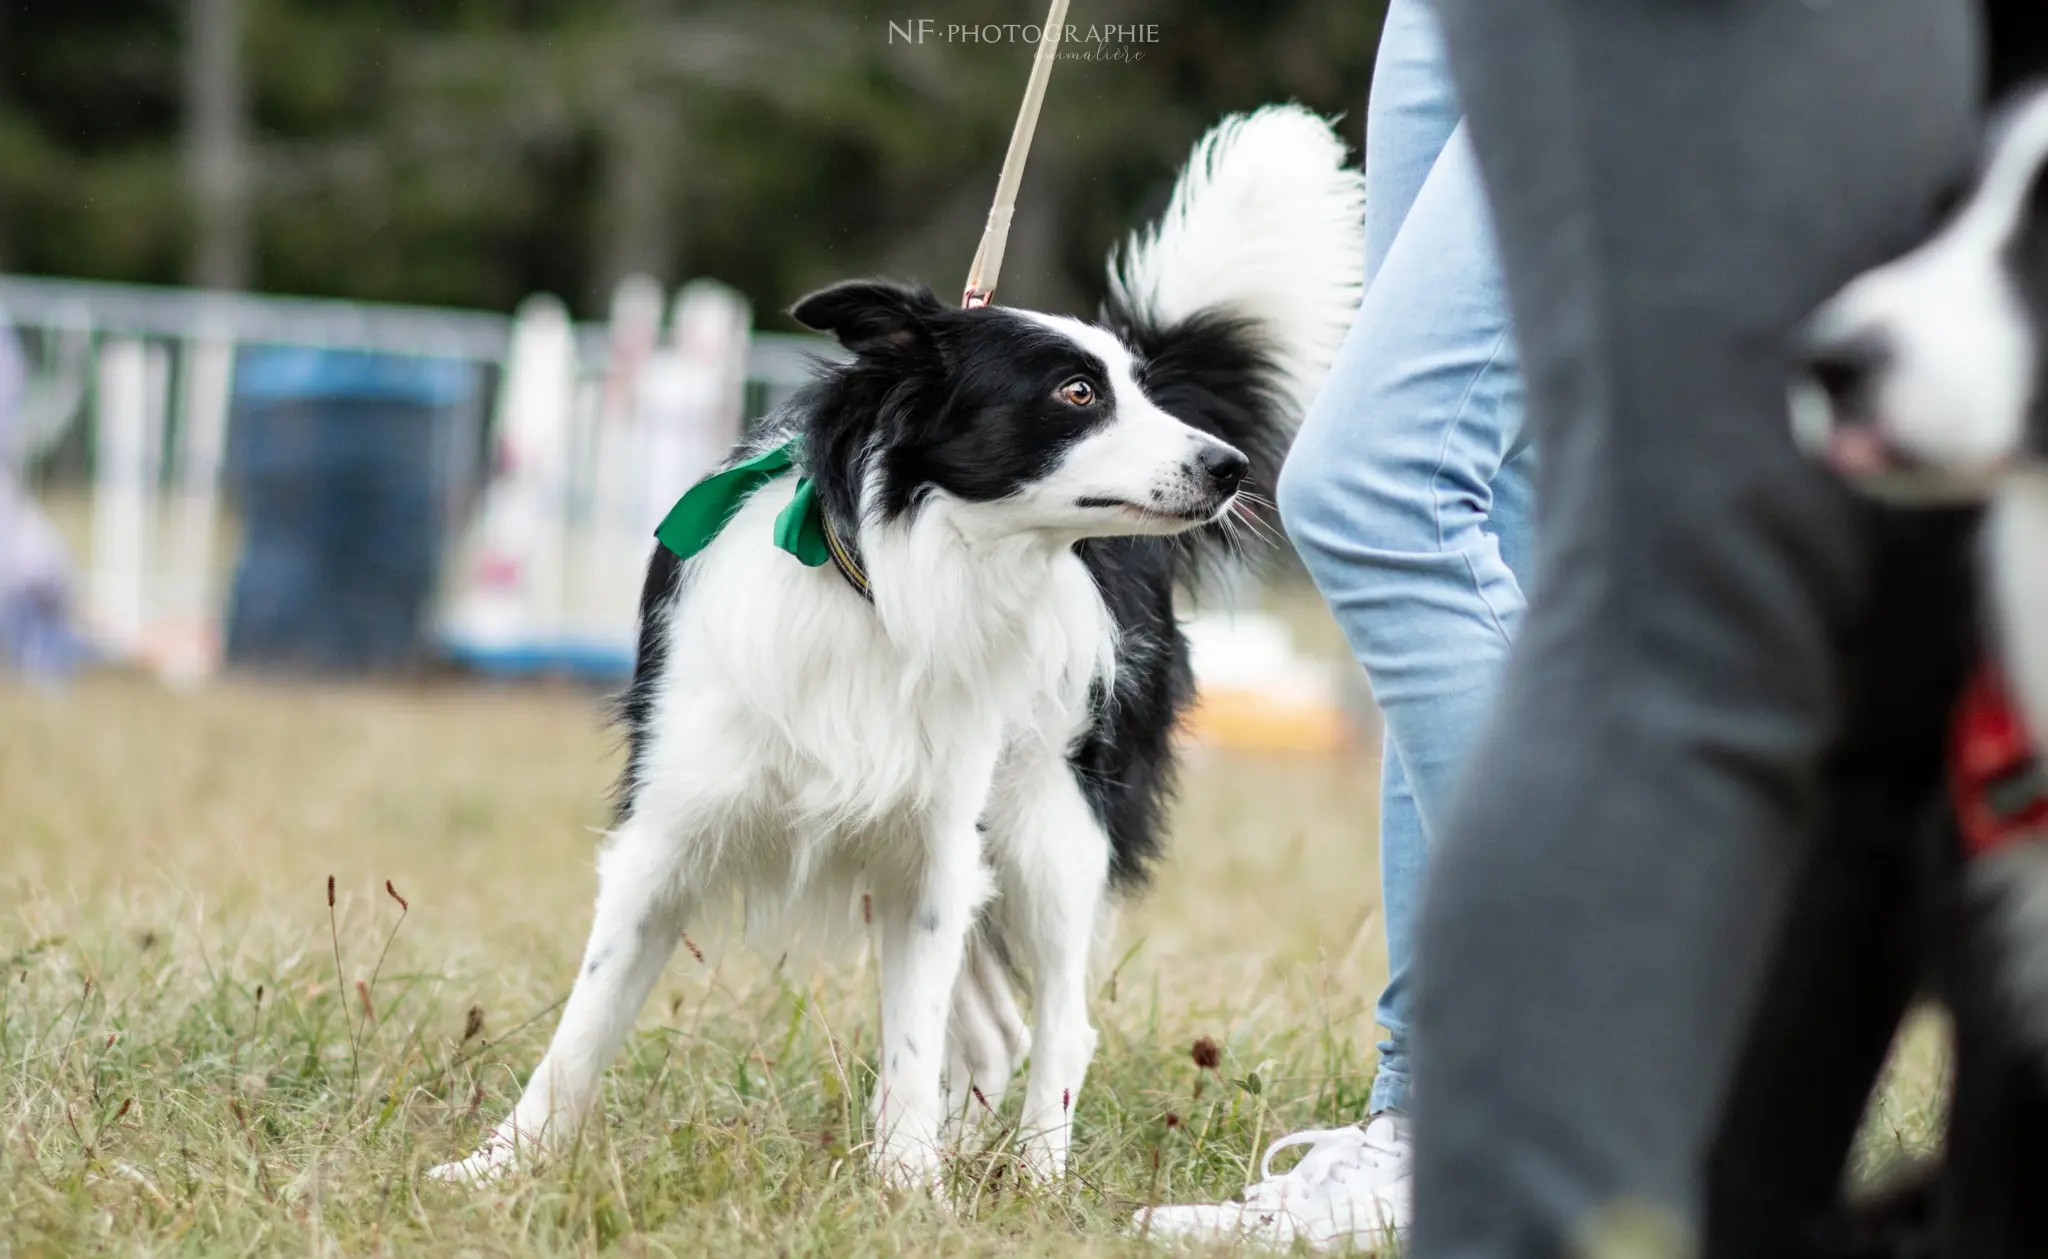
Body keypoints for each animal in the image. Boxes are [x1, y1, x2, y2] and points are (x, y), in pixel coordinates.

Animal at [432, 108, 1359, 1195]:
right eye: (1077, 392)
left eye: (1136, 387)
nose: (1228, 466)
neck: (891, 581)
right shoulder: (670, 826)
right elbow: (583, 1023)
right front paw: (498, 1164)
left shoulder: (934, 848)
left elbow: (913, 1039)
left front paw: (908, 1184)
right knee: (998, 1028)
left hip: (1050, 819)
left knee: (1061, 1022)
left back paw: (1035, 1176)